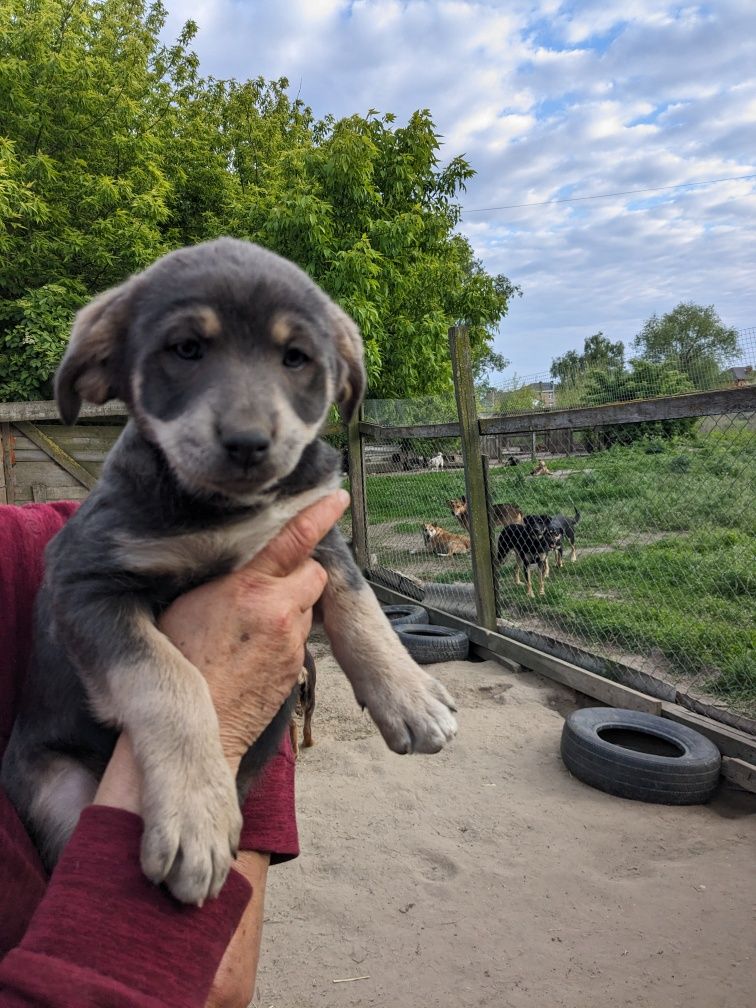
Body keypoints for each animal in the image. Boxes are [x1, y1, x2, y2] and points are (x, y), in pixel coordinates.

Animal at [2, 235, 459, 907]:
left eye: (296, 357)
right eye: (187, 349)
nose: (247, 442)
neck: (225, 509)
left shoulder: (318, 530)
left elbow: (362, 608)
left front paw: (412, 697)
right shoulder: (86, 583)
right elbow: (169, 677)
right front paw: (195, 814)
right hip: (57, 789)